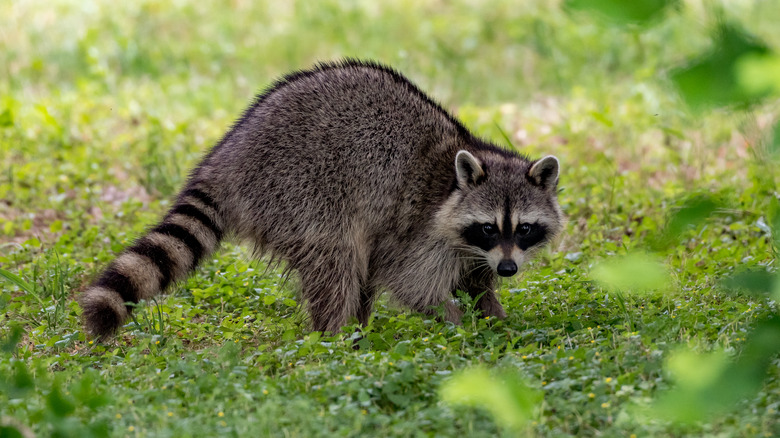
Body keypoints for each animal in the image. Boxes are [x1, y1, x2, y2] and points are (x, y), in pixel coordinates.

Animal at [79, 59, 564, 338]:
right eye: (488, 227)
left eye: (524, 228)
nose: (509, 268)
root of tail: (226, 158)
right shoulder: (419, 229)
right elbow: (410, 281)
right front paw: (458, 326)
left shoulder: (470, 249)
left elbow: (475, 281)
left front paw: (495, 321)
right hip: (299, 192)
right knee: (338, 261)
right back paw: (336, 337)